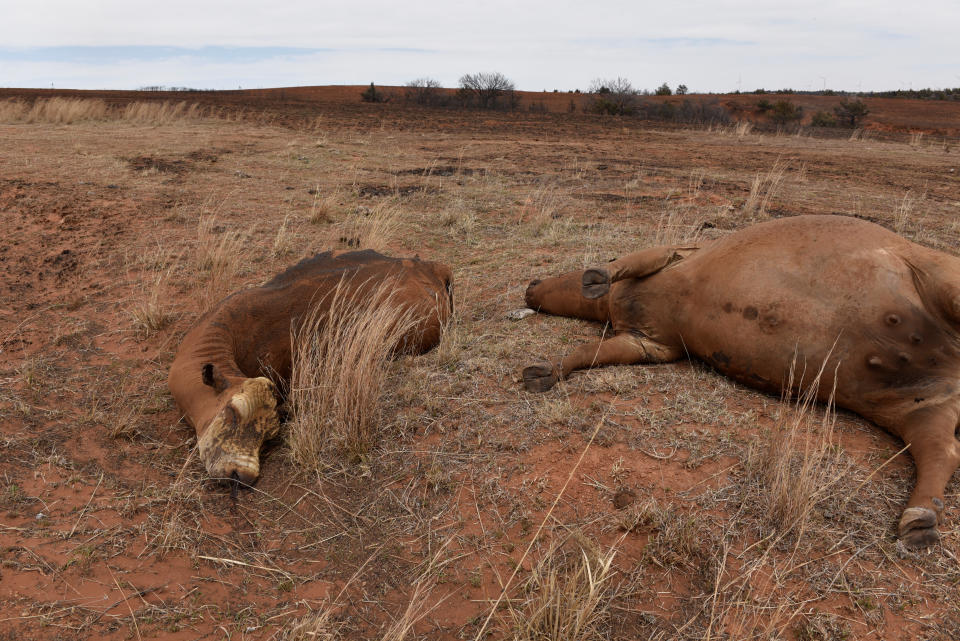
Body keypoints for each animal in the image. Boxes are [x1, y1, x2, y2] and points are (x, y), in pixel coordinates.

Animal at [524, 214, 960, 544]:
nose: (530, 286)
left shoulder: (672, 255)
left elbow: (626, 263)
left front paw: (595, 277)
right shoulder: (649, 343)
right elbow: (590, 354)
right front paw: (545, 372)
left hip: (944, 281)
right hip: (919, 407)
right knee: (942, 450)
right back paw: (920, 519)